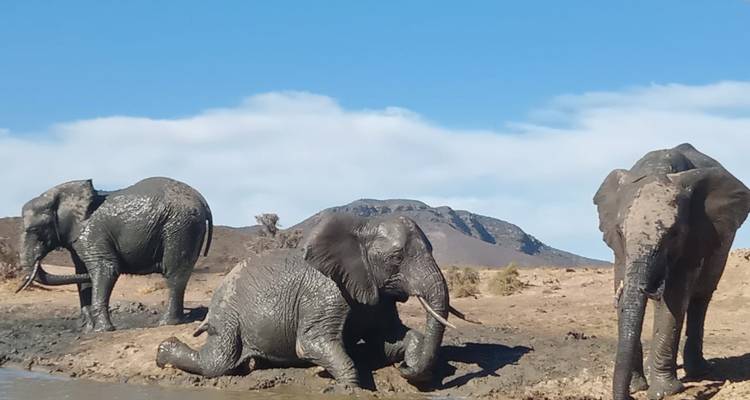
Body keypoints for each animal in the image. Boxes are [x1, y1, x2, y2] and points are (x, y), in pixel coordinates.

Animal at [16, 177, 213, 333]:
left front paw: (103, 330)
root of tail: (202, 199)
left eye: (35, 230)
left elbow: (106, 269)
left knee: (174, 273)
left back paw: (166, 323)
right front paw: (89, 330)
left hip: (180, 226)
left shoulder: (92, 234)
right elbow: (84, 276)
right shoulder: (77, 239)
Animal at [156, 214, 473, 389]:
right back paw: (162, 353)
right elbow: (310, 344)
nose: (404, 371)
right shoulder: (324, 295)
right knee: (217, 363)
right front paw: (349, 389)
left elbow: (390, 339)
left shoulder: (377, 294)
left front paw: (411, 360)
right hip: (228, 314)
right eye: (397, 258)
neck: (359, 230)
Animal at [594, 143, 750, 400]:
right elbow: (623, 289)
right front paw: (638, 387)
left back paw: (699, 370)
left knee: (700, 299)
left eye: (674, 233)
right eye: (619, 232)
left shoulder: (694, 236)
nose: (628, 395)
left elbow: (675, 298)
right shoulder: (619, 251)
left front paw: (665, 392)